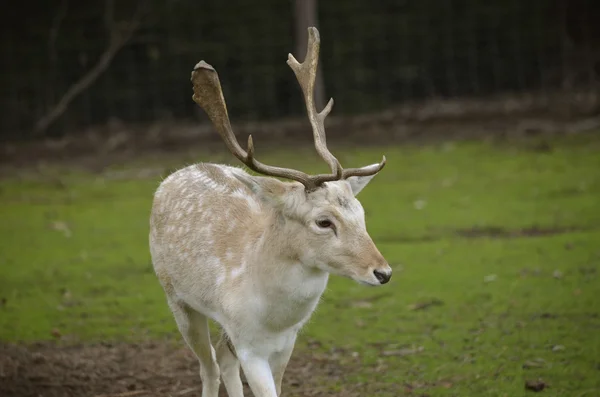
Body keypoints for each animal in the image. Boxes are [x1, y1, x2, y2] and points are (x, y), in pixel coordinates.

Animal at [149, 27, 394, 396]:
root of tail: (176, 173)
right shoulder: (248, 344)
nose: (383, 272)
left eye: (361, 213)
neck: (272, 320)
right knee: (209, 365)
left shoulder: (285, 344)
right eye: (324, 222)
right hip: (176, 297)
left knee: (223, 359)